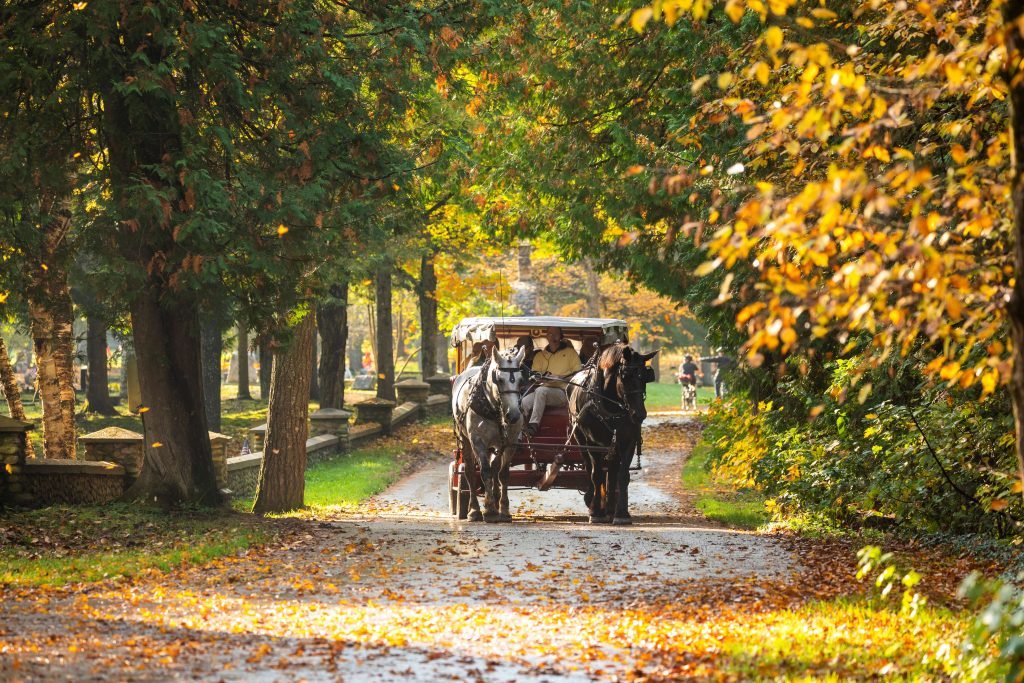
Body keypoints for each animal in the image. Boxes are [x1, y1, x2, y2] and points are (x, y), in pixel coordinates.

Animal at [452, 348, 524, 524]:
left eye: (521, 380)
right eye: (499, 379)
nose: (513, 415)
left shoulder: (509, 442)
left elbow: (502, 473)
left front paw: (503, 509)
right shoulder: (478, 442)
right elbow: (484, 471)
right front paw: (490, 510)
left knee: (494, 468)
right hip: (465, 440)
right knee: (470, 472)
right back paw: (474, 510)